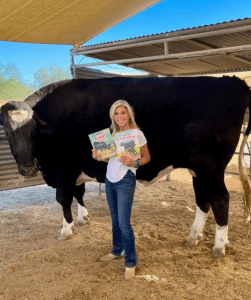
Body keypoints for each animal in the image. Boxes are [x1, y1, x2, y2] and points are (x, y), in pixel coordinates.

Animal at [0, 76, 251, 256]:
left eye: (33, 131)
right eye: (8, 132)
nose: (27, 168)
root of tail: (231, 80)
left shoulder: (62, 169)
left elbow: (63, 199)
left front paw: (66, 230)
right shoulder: (74, 171)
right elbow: (79, 193)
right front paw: (83, 218)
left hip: (211, 167)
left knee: (220, 199)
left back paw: (219, 246)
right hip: (198, 170)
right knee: (202, 199)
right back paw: (194, 236)